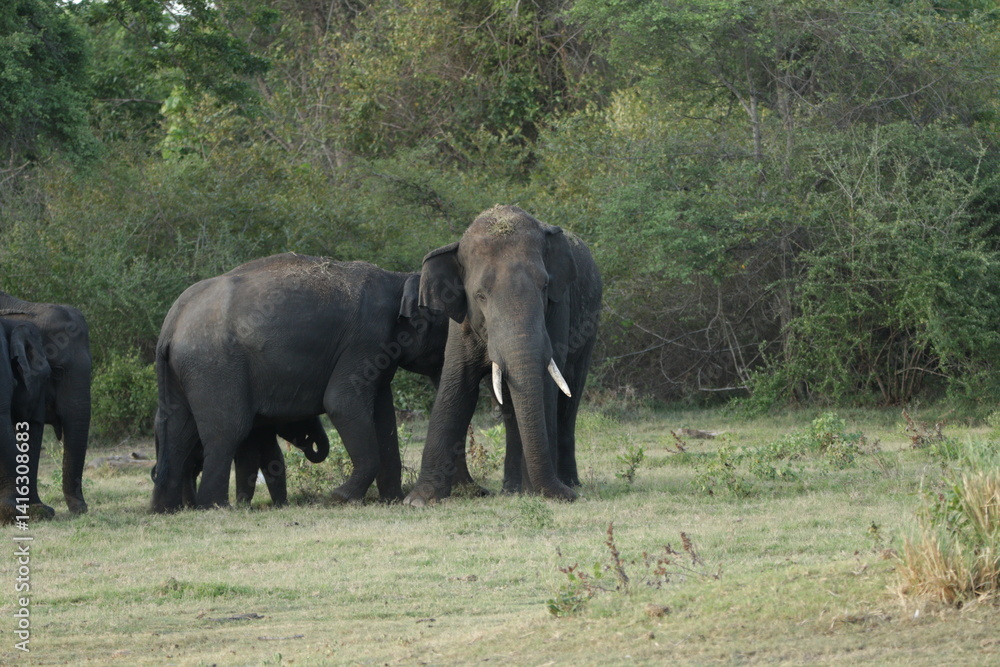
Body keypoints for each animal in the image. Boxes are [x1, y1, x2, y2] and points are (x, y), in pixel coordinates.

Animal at [151, 253, 451, 512]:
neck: (398, 280)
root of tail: (170, 325)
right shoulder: (367, 337)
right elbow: (342, 402)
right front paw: (341, 498)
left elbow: (384, 414)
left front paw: (393, 500)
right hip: (214, 365)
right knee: (227, 431)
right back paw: (215, 507)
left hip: (183, 371)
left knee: (177, 433)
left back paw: (165, 509)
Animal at [404, 205, 602, 506]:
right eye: (480, 296)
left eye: (545, 287)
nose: (565, 496)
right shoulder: (461, 318)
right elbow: (457, 384)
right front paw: (418, 501)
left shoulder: (559, 305)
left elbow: (546, 385)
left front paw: (547, 492)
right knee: (509, 407)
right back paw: (513, 489)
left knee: (570, 394)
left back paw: (565, 482)